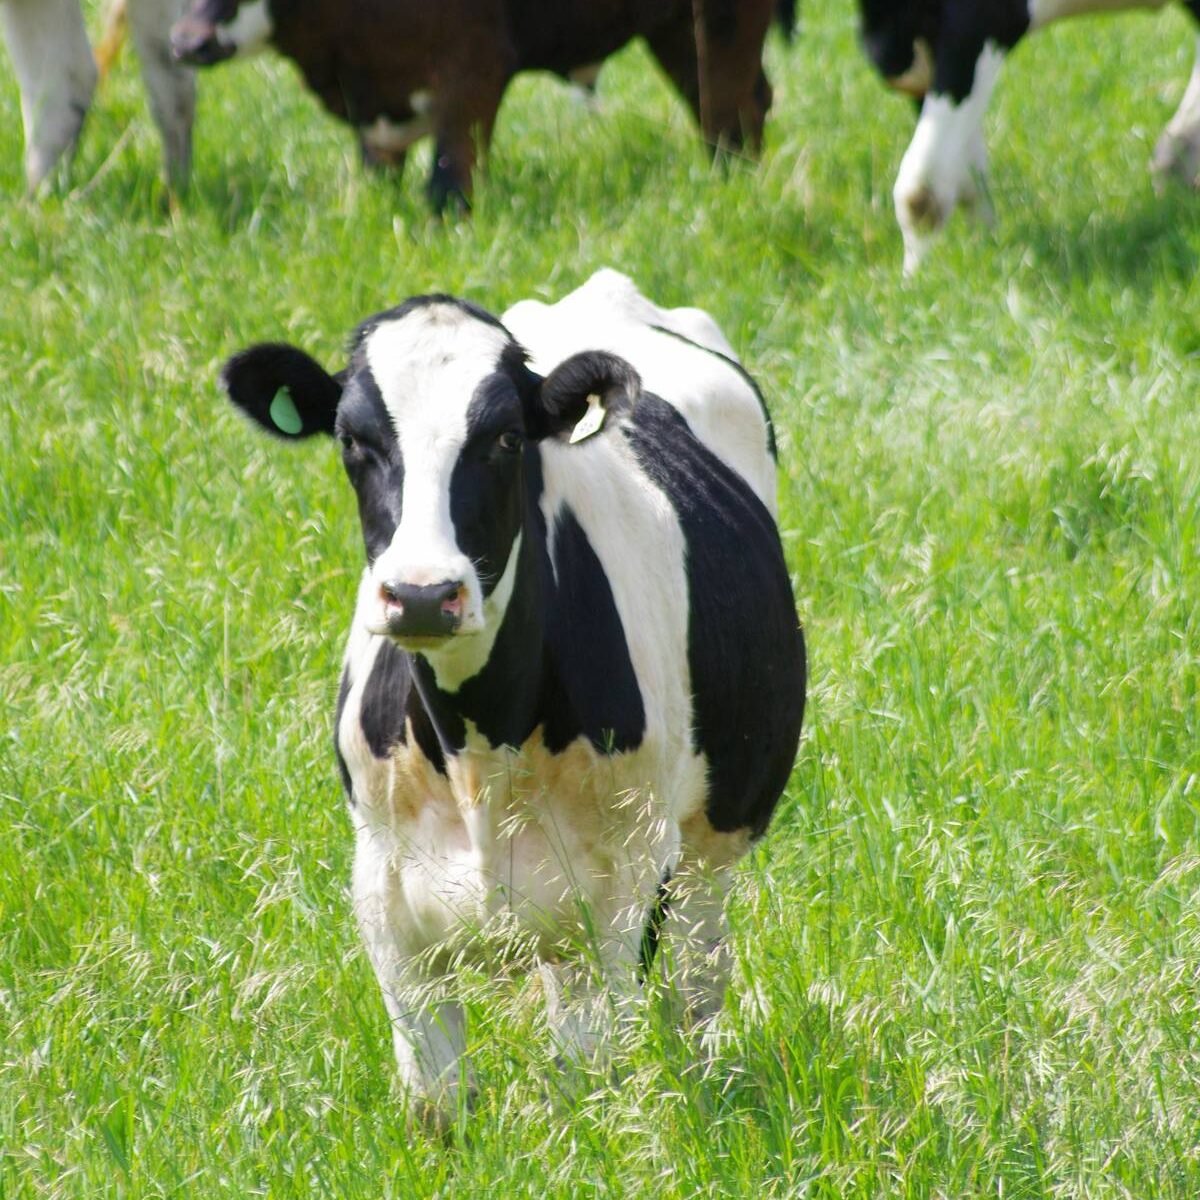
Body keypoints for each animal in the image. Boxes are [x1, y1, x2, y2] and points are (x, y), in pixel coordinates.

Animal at [170, 0, 778, 212]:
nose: (187, 42)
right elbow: (377, 172)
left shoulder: (475, 67)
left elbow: (448, 174)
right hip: (672, 27)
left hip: (720, 19)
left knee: (727, 106)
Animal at [217, 269, 806, 1114]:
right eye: (353, 441)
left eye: (504, 439)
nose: (422, 594)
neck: (480, 743)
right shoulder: (387, 900)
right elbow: (438, 1102)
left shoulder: (619, 897)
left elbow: (586, 1084)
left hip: (709, 844)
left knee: (695, 988)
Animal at [859, 0, 1200, 272]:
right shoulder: (917, 50)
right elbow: (966, 172)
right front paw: (981, 249)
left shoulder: (987, 17)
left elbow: (921, 192)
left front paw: (921, 280)